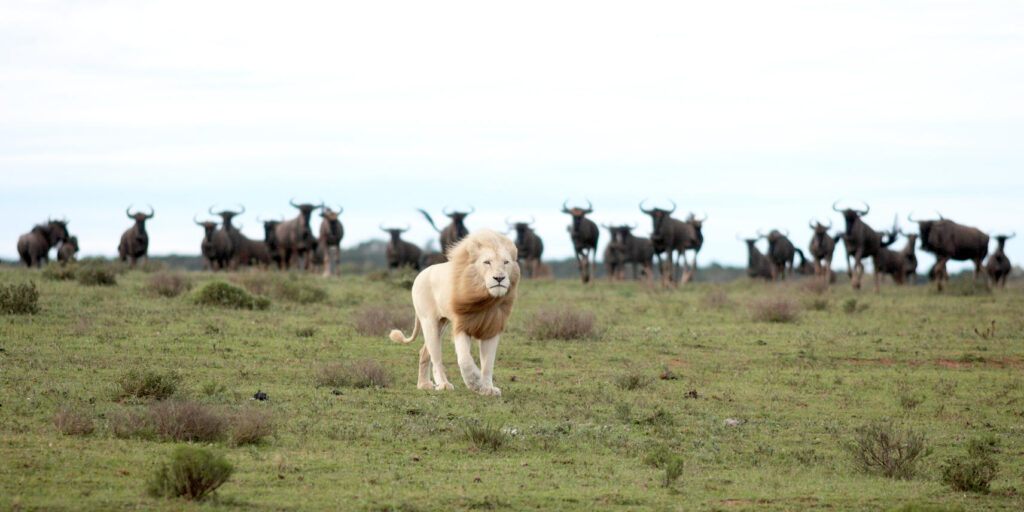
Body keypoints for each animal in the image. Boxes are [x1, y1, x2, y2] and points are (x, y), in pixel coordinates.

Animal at [389, 228, 520, 396]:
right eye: (487, 262)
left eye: (506, 262)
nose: (499, 278)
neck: (485, 298)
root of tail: (420, 274)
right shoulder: (461, 324)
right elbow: (464, 359)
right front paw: (474, 382)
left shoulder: (491, 327)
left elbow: (488, 363)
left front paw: (488, 389)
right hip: (429, 321)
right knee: (436, 357)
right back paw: (443, 384)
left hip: (442, 323)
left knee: (424, 352)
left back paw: (423, 384)